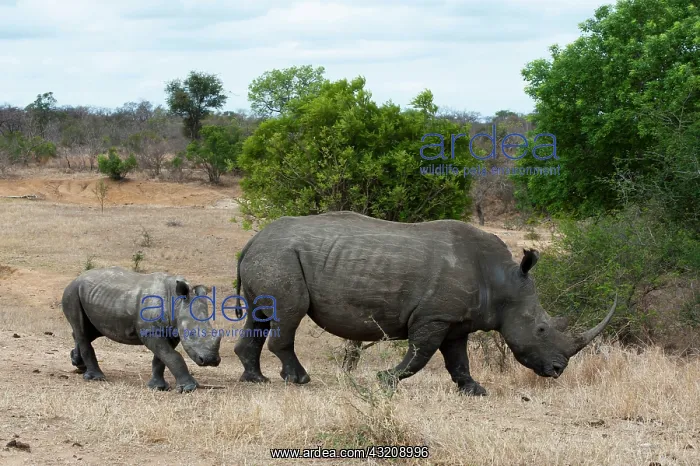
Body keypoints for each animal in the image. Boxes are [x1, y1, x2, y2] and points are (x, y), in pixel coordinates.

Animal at [62, 267, 222, 392]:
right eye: (192, 334)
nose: (210, 360)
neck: (175, 301)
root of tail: (76, 278)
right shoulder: (150, 332)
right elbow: (172, 356)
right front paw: (189, 388)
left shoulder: (172, 331)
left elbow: (162, 357)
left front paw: (158, 387)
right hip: (72, 293)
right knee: (81, 330)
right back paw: (96, 378)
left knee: (90, 332)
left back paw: (78, 364)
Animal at [233, 211, 616, 395]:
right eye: (540, 328)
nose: (558, 370)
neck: (503, 280)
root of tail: (253, 240)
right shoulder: (434, 316)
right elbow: (420, 354)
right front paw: (385, 380)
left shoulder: (456, 321)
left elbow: (458, 359)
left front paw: (475, 391)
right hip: (280, 258)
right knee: (289, 313)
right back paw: (299, 380)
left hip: (270, 257)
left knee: (259, 316)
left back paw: (256, 380)